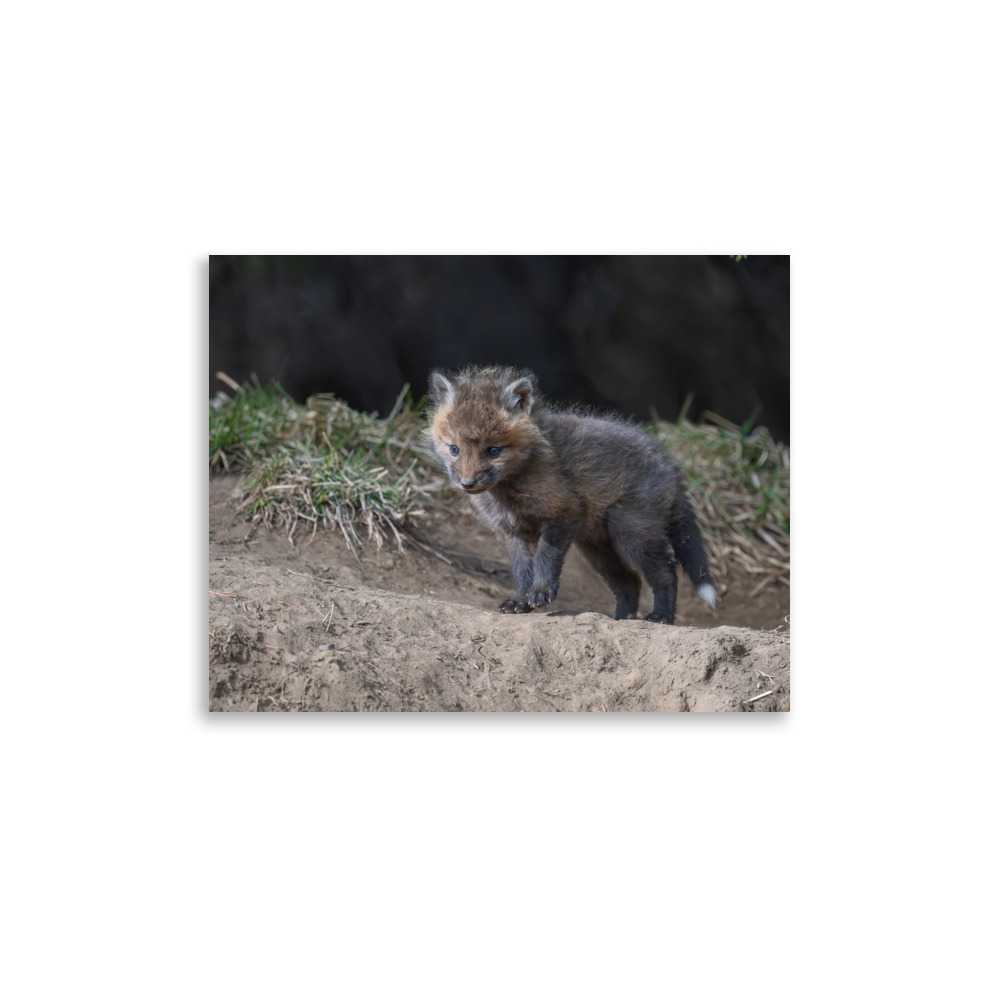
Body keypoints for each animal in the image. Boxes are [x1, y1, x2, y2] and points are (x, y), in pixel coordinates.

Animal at [427, 365, 716, 624]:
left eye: (493, 450)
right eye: (454, 449)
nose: (467, 483)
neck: (510, 492)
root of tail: (669, 464)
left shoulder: (563, 511)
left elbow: (545, 557)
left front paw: (541, 592)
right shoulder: (514, 531)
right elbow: (522, 571)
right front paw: (520, 601)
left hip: (631, 534)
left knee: (666, 573)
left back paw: (661, 616)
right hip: (597, 549)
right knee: (630, 582)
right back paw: (621, 619)